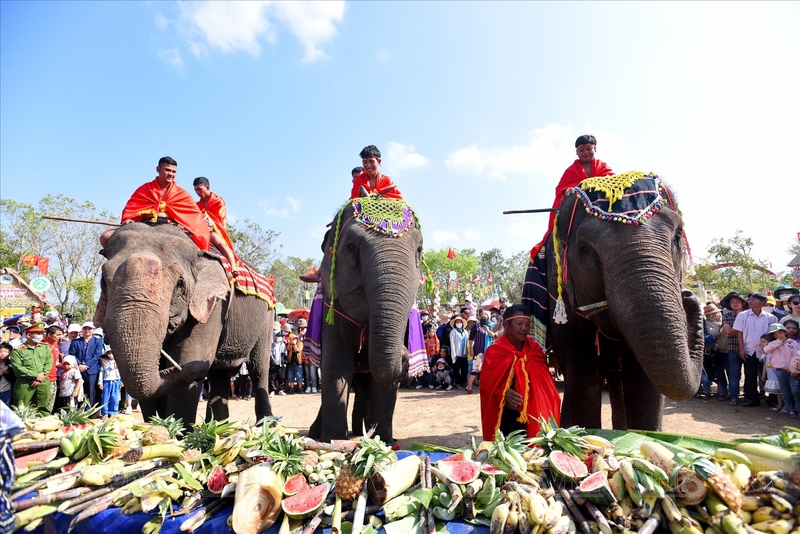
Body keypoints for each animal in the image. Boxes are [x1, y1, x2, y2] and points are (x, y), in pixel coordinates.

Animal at [93, 224, 274, 430]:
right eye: (103, 281)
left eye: (179, 284)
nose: (197, 368)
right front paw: (161, 427)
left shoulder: (213, 306)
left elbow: (188, 357)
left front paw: (180, 433)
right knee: (219, 375)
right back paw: (217, 427)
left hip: (267, 318)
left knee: (258, 368)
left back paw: (267, 425)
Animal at [310, 198, 424, 444]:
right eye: (351, 247)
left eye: (419, 250)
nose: (405, 353)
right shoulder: (332, 307)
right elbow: (336, 364)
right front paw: (333, 441)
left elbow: (381, 377)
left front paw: (383, 441)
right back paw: (320, 433)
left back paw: (362, 429)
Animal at [532, 176, 708, 432]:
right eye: (585, 249)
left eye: (677, 235)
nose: (689, 296)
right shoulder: (560, 302)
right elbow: (585, 382)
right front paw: (583, 436)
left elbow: (644, 387)